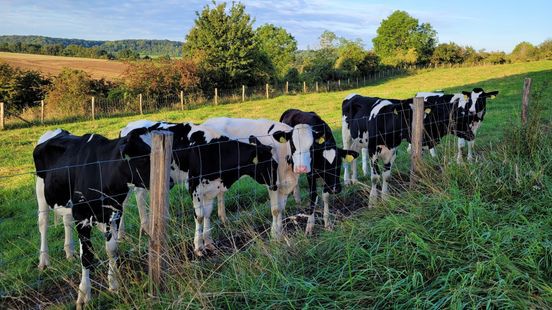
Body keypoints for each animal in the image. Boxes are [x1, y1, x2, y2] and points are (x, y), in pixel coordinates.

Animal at [34, 127, 152, 306]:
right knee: (43, 224)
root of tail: (56, 130)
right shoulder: (82, 216)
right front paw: (84, 295)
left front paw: (113, 285)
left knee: (66, 221)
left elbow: (112, 249)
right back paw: (44, 261)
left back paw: (69, 252)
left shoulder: (114, 213)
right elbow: (87, 256)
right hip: (41, 193)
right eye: (143, 157)